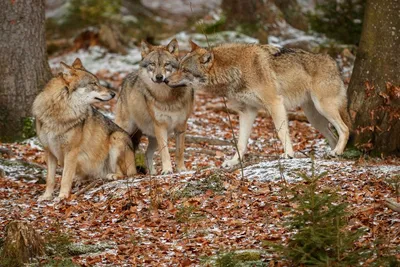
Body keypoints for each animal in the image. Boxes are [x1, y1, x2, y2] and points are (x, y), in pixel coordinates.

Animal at [32, 58, 136, 201]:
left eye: (98, 82)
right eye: (93, 83)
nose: (113, 93)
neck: (60, 112)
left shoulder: (71, 151)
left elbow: (65, 178)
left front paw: (62, 196)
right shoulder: (49, 151)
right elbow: (50, 179)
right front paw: (46, 196)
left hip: (117, 137)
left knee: (126, 174)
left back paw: (112, 175)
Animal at [114, 38, 194, 175]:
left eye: (166, 64)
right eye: (152, 64)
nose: (159, 77)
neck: (166, 97)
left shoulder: (181, 126)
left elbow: (180, 151)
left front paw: (181, 169)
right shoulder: (160, 126)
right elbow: (165, 152)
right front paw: (167, 170)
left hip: (152, 137)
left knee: (147, 154)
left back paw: (152, 173)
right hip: (126, 130)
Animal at [166, 41, 350, 168]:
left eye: (185, 70)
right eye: (178, 67)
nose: (165, 80)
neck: (235, 70)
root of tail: (334, 63)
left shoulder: (275, 103)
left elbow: (281, 132)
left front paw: (288, 155)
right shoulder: (247, 111)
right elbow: (241, 142)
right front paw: (233, 162)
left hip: (323, 108)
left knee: (345, 129)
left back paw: (337, 151)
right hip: (314, 118)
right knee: (333, 136)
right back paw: (333, 154)